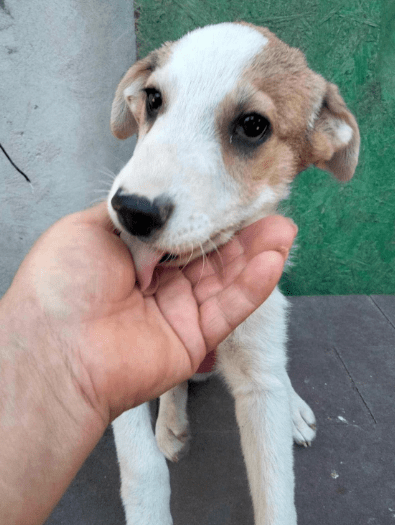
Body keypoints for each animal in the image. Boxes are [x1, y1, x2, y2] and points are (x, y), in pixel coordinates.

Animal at [106, 21, 360, 524]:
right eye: (153, 99)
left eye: (252, 126)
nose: (132, 211)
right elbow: (143, 468)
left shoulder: (259, 377)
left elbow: (276, 491)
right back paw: (171, 423)